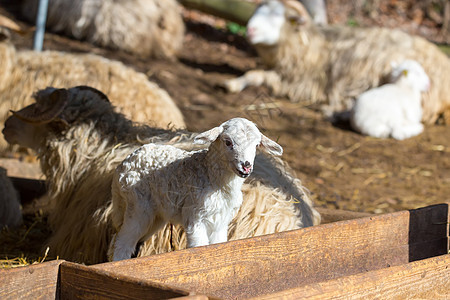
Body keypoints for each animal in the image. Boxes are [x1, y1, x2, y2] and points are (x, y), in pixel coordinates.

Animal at [109, 117, 284, 260]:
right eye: (228, 142)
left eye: (256, 145)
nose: (246, 166)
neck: (212, 178)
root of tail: (124, 164)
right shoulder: (195, 217)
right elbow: (199, 247)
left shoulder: (221, 221)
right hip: (138, 206)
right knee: (123, 243)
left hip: (157, 214)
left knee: (137, 242)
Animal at [227, 0, 450, 125]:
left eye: (278, 16)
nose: (250, 30)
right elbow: (255, 73)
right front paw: (233, 83)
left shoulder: (299, 82)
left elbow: (260, 75)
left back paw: (333, 111)